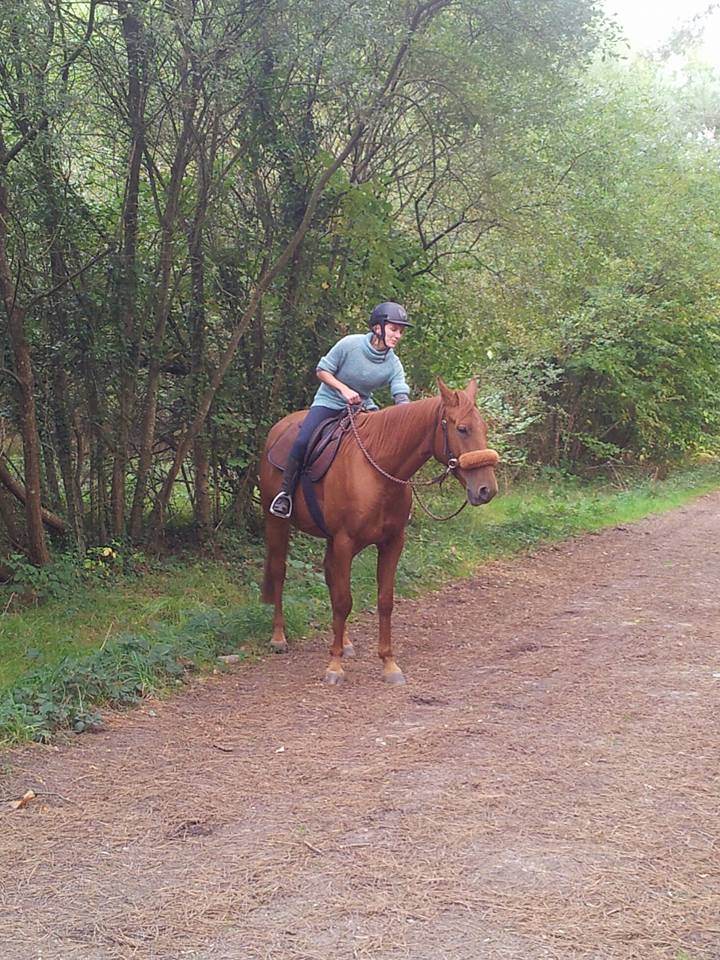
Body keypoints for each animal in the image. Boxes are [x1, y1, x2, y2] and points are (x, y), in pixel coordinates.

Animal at [260, 378, 500, 688]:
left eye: (484, 428)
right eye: (462, 429)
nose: (486, 490)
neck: (378, 469)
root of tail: (279, 429)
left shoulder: (391, 543)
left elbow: (384, 601)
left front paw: (388, 663)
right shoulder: (345, 542)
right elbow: (344, 601)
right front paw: (334, 666)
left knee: (329, 575)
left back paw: (346, 642)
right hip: (276, 521)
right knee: (279, 571)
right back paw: (279, 637)